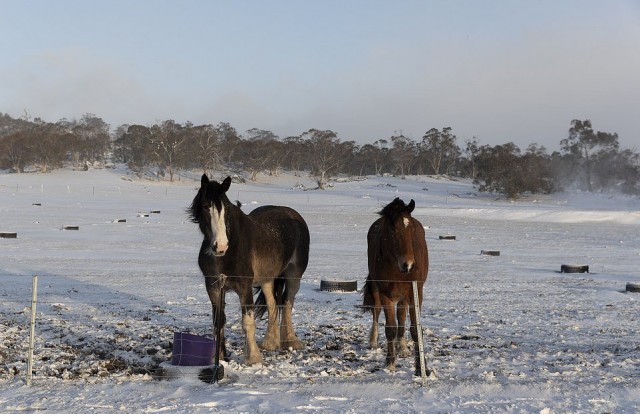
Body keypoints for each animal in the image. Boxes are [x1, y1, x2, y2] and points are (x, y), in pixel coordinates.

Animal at [188, 175, 310, 366]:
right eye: (206, 206)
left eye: (227, 209)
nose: (220, 246)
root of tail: (293, 215)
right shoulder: (214, 287)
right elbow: (218, 321)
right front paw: (219, 357)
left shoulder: (244, 287)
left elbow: (248, 322)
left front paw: (253, 357)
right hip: (267, 279)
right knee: (273, 304)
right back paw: (270, 342)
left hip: (294, 276)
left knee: (287, 303)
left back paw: (290, 340)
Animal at [362, 197, 428, 376]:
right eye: (392, 230)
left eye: (411, 228)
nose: (408, 264)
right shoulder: (386, 295)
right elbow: (390, 328)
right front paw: (390, 362)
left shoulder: (415, 293)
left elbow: (414, 329)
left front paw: (421, 366)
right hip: (378, 290)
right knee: (377, 311)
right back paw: (374, 340)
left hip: (405, 296)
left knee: (402, 316)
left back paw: (402, 347)